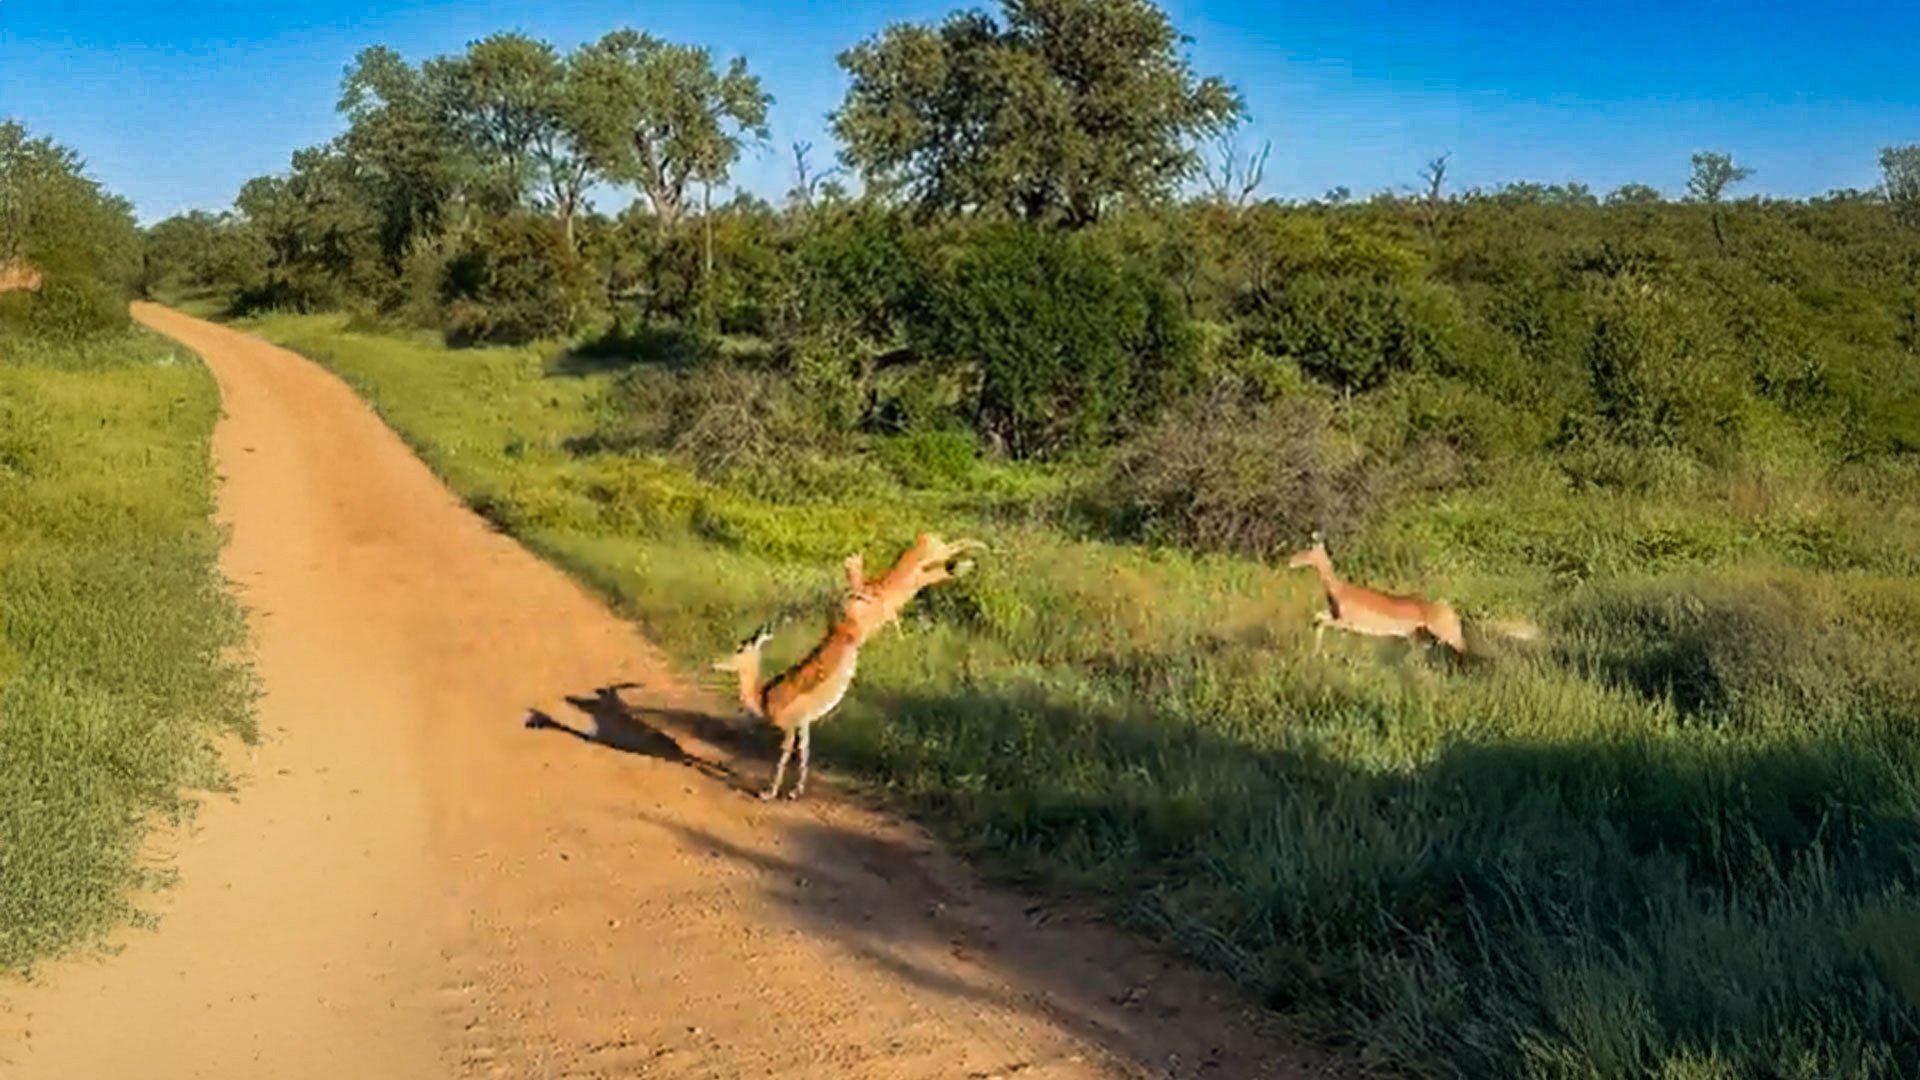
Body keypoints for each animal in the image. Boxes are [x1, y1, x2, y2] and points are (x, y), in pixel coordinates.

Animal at [713, 532, 986, 801]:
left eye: (739, 649)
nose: (716, 663)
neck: (763, 696)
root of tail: (842, 627)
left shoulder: (790, 727)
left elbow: (784, 755)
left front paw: (769, 793)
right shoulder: (804, 724)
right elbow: (805, 752)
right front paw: (795, 791)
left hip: (878, 604)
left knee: (926, 556)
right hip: (890, 600)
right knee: (927, 570)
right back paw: (967, 563)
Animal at [1286, 531, 1466, 656]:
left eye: (1309, 548)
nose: (1291, 560)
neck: (1338, 590)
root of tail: (1449, 611)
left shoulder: (1348, 623)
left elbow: (1321, 623)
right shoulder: (1334, 615)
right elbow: (1317, 618)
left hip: (1444, 635)